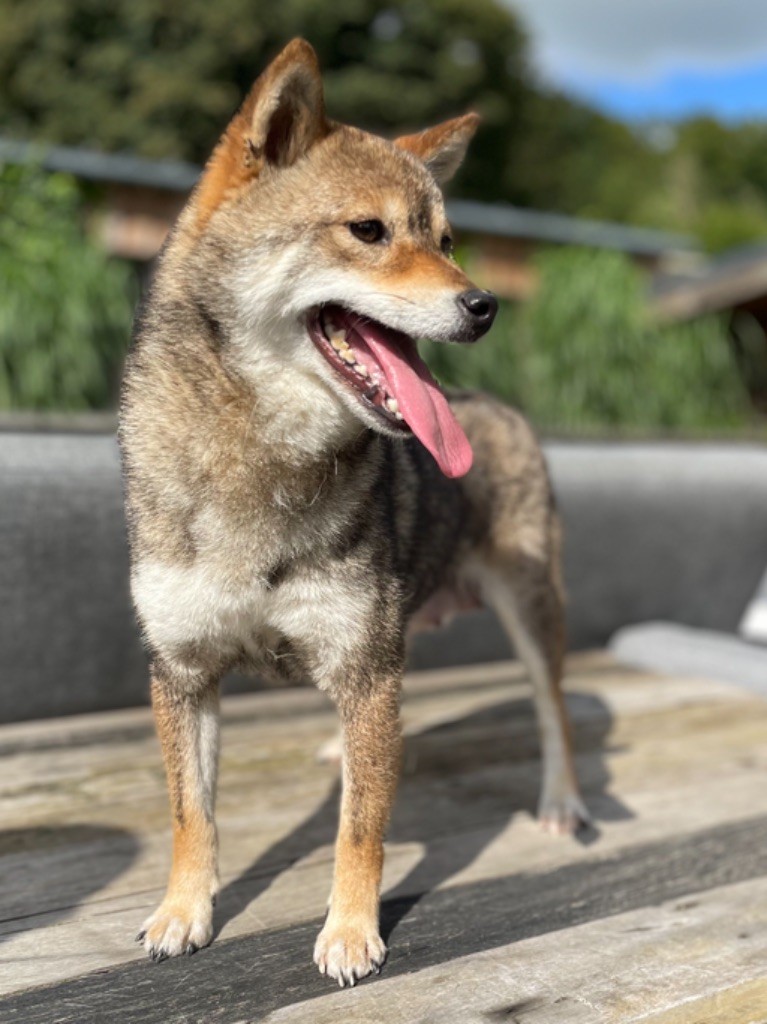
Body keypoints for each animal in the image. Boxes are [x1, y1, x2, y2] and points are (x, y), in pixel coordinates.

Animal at [118, 36, 585, 987]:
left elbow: (360, 827)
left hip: (530, 609)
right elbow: (192, 813)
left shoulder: (368, 672)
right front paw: (183, 913)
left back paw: (561, 801)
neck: (256, 461)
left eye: (446, 241)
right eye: (368, 231)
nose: (484, 304)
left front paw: (349, 930)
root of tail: (499, 404)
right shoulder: (182, 668)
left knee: (553, 712)